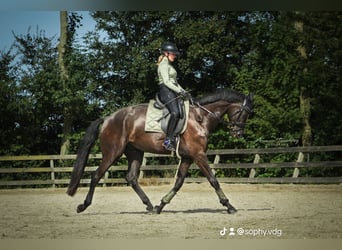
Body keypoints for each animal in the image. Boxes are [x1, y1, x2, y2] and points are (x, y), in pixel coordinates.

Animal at [67, 88, 254, 213]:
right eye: (244, 112)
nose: (238, 133)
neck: (201, 118)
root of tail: (108, 118)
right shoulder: (198, 155)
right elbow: (213, 180)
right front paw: (229, 206)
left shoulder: (188, 157)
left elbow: (178, 183)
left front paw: (160, 205)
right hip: (113, 152)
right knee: (96, 175)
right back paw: (83, 205)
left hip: (135, 153)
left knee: (131, 177)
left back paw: (149, 206)